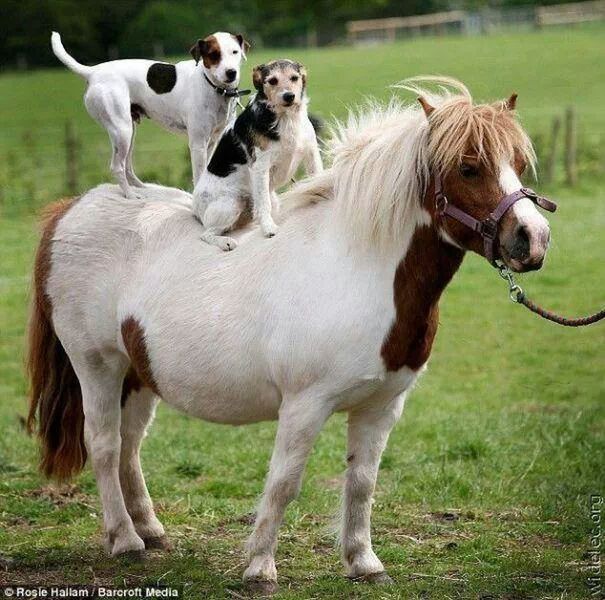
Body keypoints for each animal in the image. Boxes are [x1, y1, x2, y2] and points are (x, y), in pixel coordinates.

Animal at [50, 31, 250, 197]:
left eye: (235, 52)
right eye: (214, 54)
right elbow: (199, 174)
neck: (212, 86)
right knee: (117, 167)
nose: (231, 73)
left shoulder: (212, 140)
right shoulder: (198, 143)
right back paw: (130, 195)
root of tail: (93, 72)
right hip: (121, 131)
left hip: (129, 131)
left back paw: (144, 188)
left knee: (127, 167)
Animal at [193, 59, 326, 251]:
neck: (286, 118)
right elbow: (264, 202)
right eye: (272, 81)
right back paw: (226, 242)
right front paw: (269, 228)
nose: (289, 96)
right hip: (230, 204)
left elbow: (317, 177)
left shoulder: (311, 154)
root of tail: (194, 208)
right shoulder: (261, 167)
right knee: (206, 234)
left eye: (294, 78)